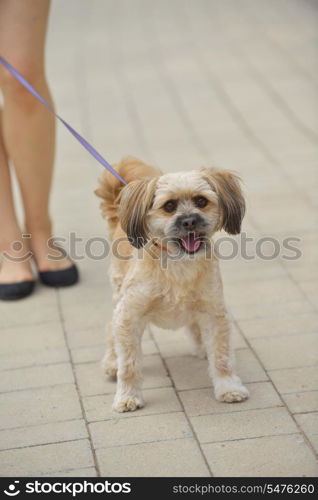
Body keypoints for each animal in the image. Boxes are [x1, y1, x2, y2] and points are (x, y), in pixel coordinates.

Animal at [95, 158, 250, 412]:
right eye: (169, 206)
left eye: (201, 201)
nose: (189, 221)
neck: (179, 264)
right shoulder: (129, 315)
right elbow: (129, 365)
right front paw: (127, 396)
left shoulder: (214, 312)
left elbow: (222, 356)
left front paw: (228, 387)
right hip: (119, 296)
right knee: (110, 328)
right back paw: (111, 361)